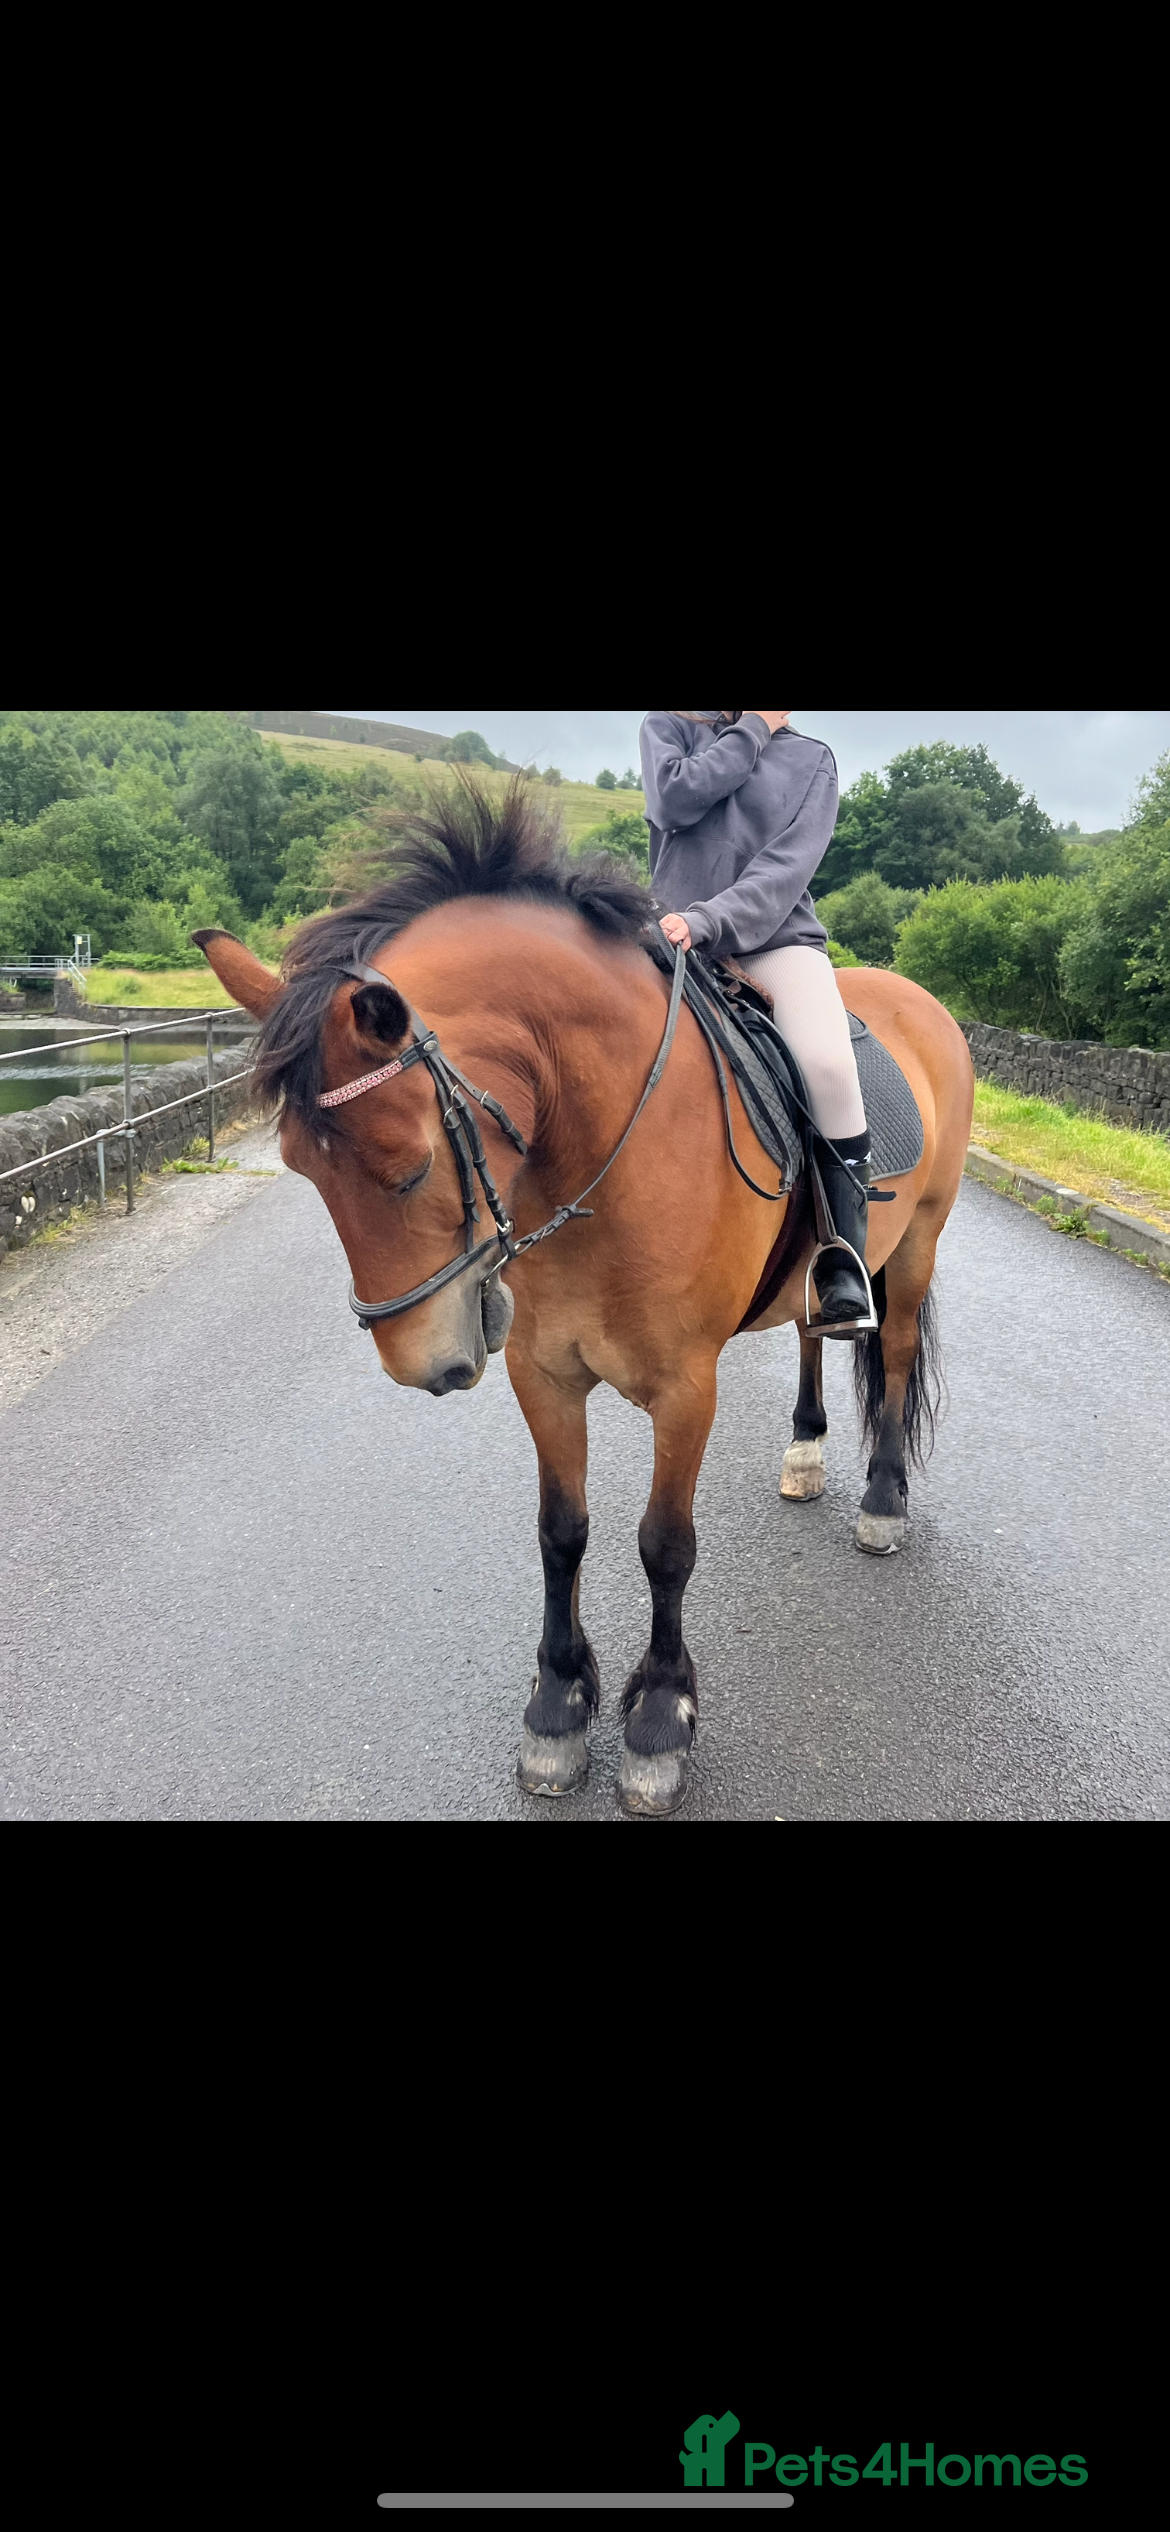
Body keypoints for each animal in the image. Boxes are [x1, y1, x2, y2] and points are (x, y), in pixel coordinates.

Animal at [195, 780, 974, 1818]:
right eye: (294, 1167)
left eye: (407, 1168)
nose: (424, 1364)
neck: (601, 1145)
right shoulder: (544, 1372)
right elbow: (560, 1534)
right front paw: (559, 1706)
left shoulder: (687, 1388)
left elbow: (665, 1545)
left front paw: (659, 1720)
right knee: (816, 1328)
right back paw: (806, 1451)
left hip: (918, 1243)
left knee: (892, 1354)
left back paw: (883, 1500)